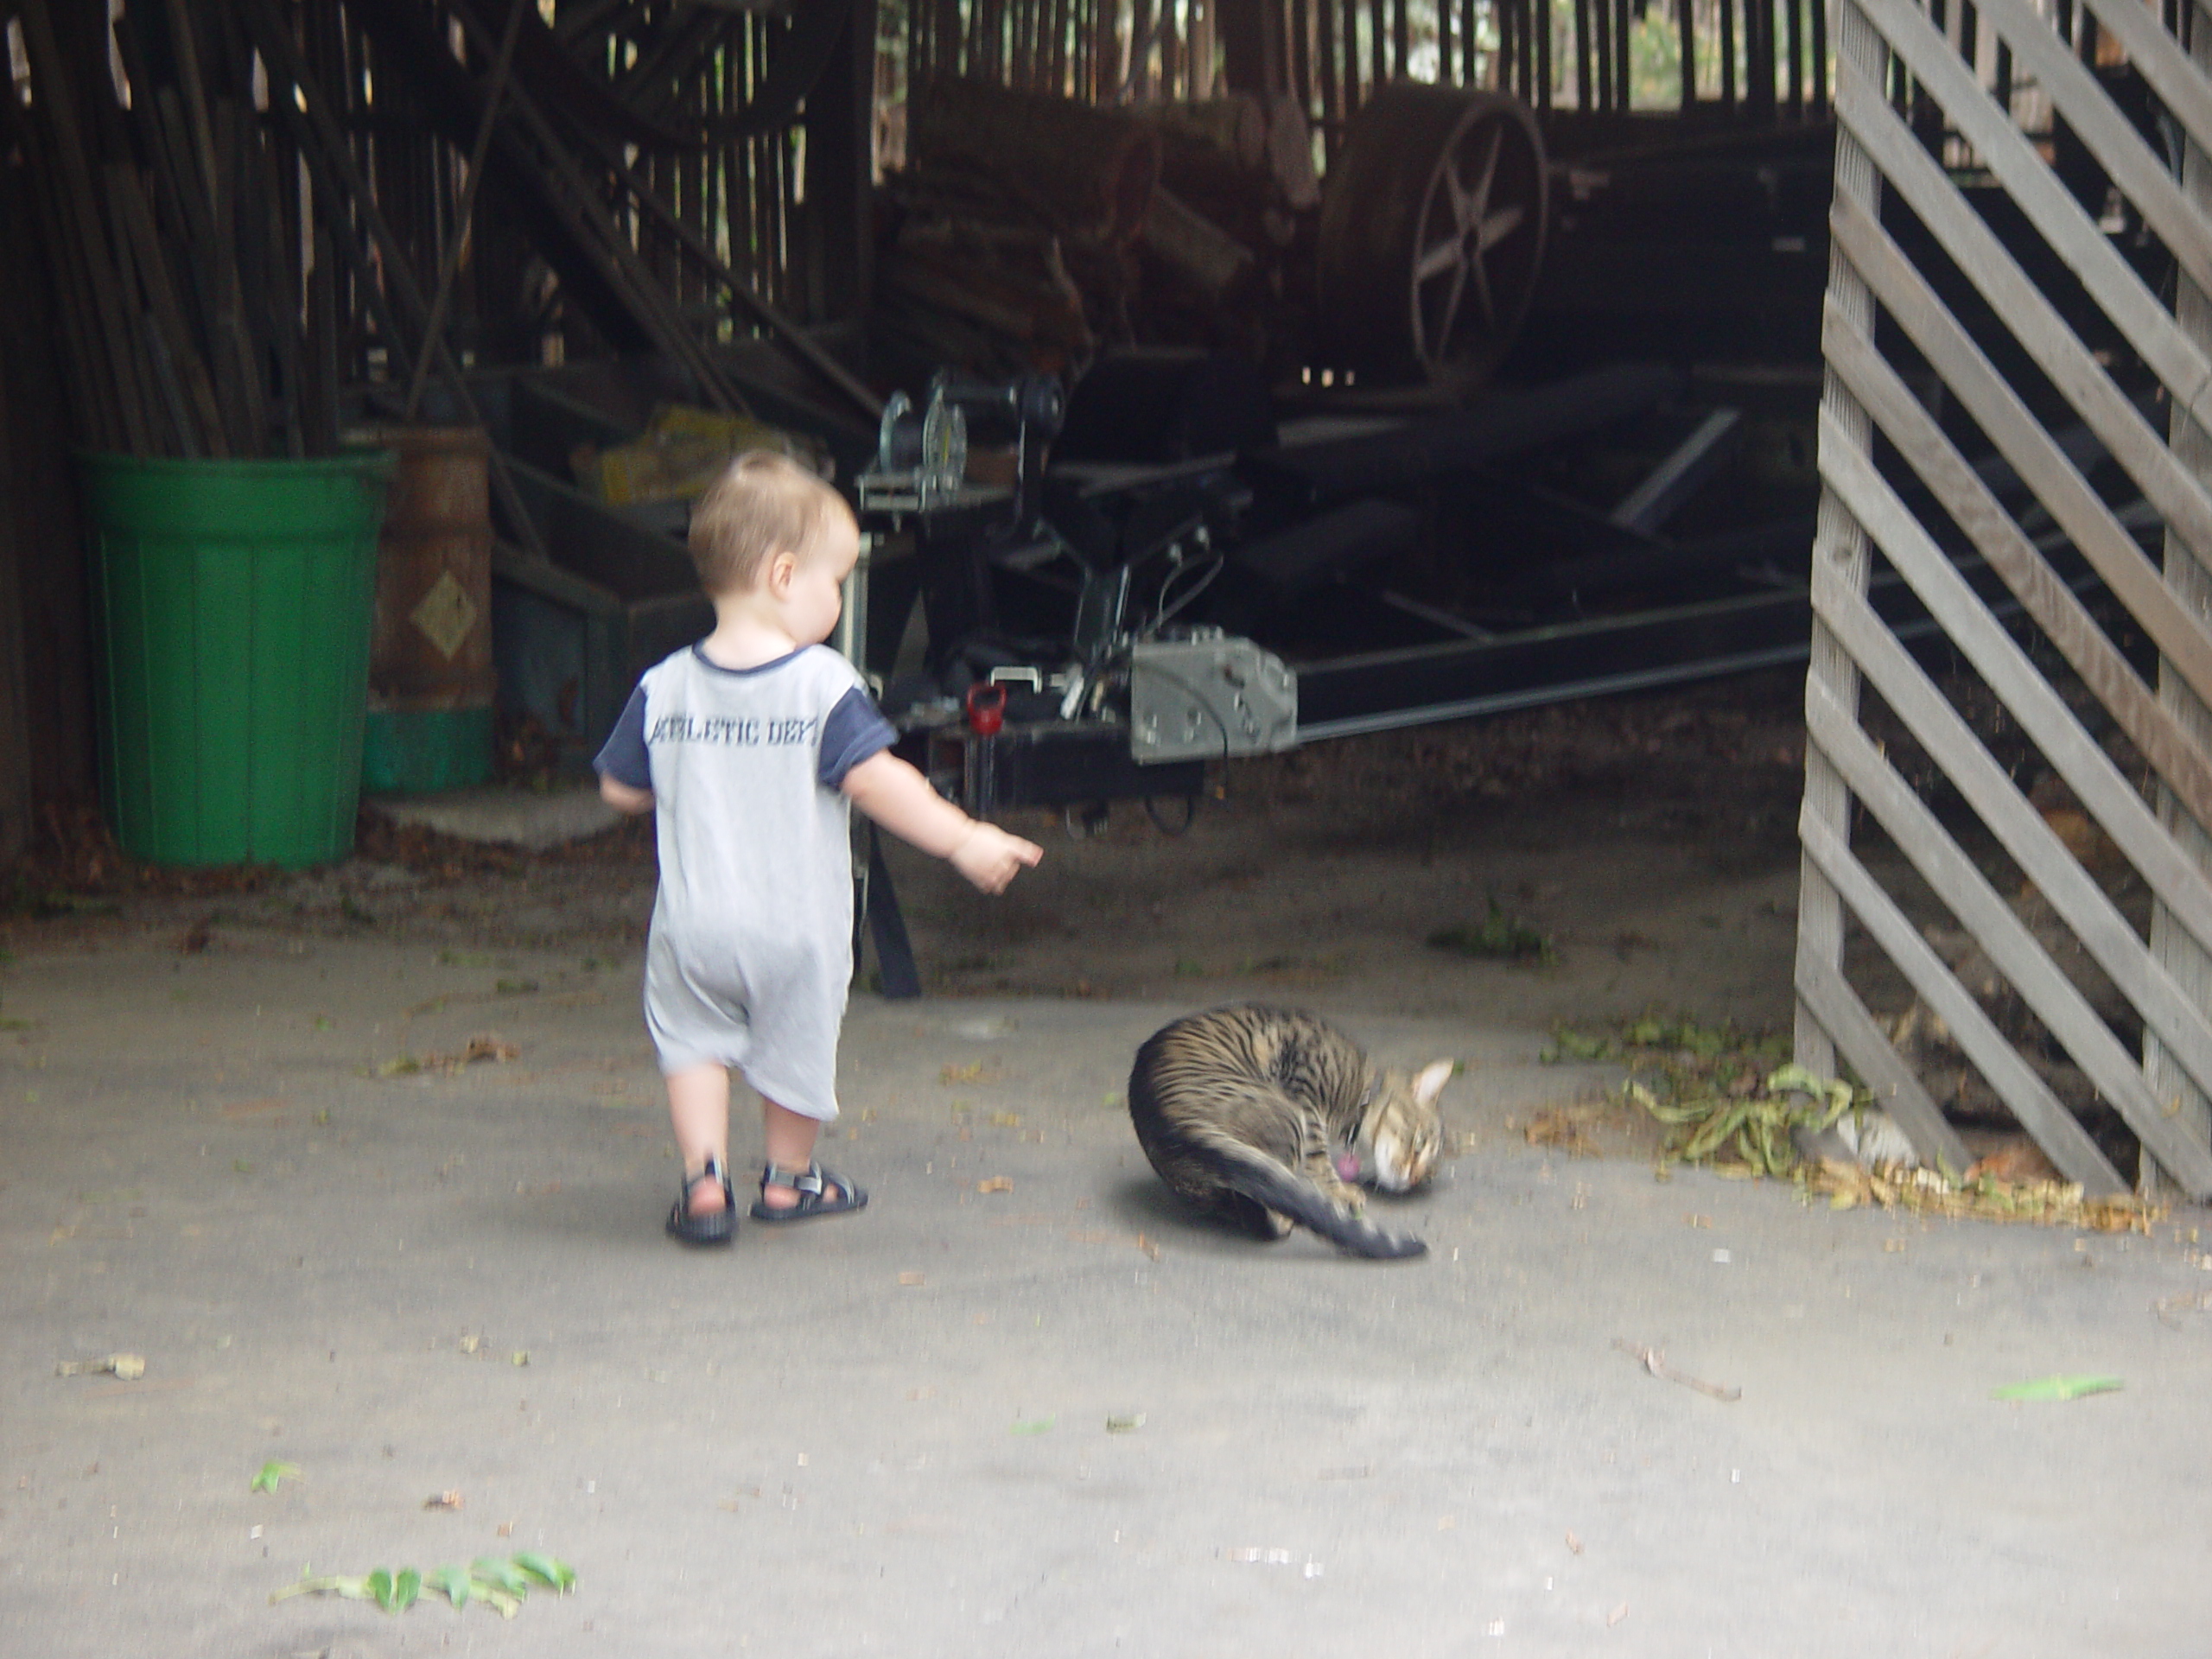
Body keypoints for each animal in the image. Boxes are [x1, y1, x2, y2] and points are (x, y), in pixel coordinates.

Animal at [1123, 1008, 1451, 1265]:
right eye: (1419, 1143)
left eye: (1428, 1175)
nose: (1414, 1178)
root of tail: (1168, 1118)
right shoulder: (1306, 1094)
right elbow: (1320, 1161)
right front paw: (1339, 1192)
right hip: (1291, 1115)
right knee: (1272, 1220)